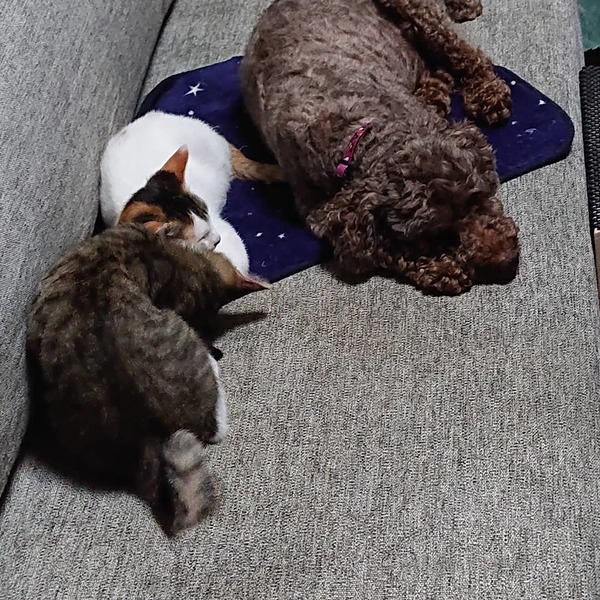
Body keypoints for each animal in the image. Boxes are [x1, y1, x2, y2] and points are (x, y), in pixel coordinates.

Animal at [241, 0, 519, 294]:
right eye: (438, 232)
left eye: (477, 198)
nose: (506, 261)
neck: (357, 136)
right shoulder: (318, 209)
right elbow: (384, 248)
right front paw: (440, 266)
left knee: (464, 53)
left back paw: (487, 93)